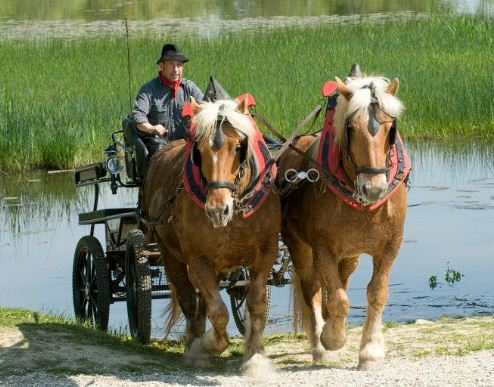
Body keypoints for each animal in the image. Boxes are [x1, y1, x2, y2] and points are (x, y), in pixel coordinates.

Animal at [143, 95, 282, 374]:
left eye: (239, 146)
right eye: (198, 150)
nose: (218, 209)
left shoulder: (266, 253)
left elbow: (256, 304)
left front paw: (254, 356)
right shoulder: (198, 260)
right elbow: (218, 311)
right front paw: (209, 344)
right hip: (169, 252)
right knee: (188, 298)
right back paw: (194, 346)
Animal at [278, 68, 410, 372]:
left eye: (390, 129)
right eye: (351, 129)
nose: (374, 188)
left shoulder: (391, 247)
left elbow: (376, 293)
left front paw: (370, 351)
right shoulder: (322, 247)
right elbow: (338, 300)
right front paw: (332, 339)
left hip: (350, 255)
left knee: (340, 281)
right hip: (299, 245)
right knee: (312, 290)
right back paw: (319, 345)